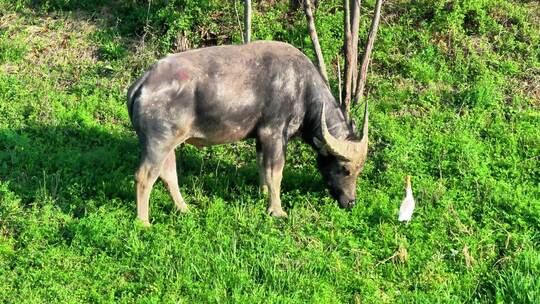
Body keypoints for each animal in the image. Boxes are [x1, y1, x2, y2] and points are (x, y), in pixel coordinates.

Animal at [126, 41, 368, 226]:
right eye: (345, 169)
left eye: (359, 170)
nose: (351, 202)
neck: (302, 88)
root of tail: (142, 83)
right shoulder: (274, 133)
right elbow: (276, 172)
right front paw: (277, 210)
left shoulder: (261, 138)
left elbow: (262, 166)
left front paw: (262, 193)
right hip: (158, 143)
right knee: (144, 176)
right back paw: (144, 222)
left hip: (169, 144)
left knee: (168, 174)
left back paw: (184, 209)